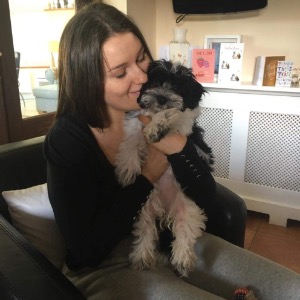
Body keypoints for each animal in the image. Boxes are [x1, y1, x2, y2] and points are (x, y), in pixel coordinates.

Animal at [115, 58, 213, 276]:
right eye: (154, 83)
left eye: (176, 87)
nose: (161, 98)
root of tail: (166, 211)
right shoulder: (136, 122)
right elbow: (131, 140)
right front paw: (127, 169)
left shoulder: (184, 123)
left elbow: (172, 112)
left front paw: (156, 127)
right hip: (145, 208)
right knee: (145, 230)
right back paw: (142, 257)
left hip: (187, 208)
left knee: (184, 232)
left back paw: (182, 260)